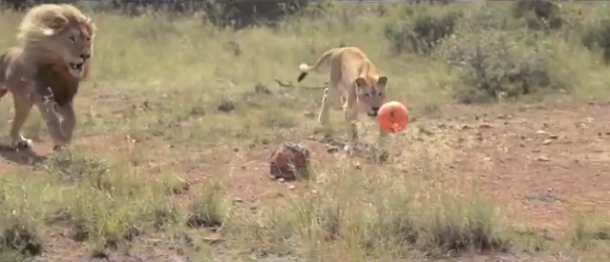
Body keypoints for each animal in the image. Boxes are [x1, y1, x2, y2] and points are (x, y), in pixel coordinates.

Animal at [0, 3, 95, 151]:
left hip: (24, 102)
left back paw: (20, 142)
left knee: (16, 123)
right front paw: (59, 142)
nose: (86, 56)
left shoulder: (63, 97)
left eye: (87, 39)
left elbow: (72, 119)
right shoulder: (43, 95)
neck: (60, 69)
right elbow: (52, 119)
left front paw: (66, 139)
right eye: (72, 38)